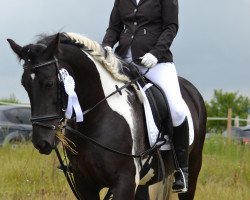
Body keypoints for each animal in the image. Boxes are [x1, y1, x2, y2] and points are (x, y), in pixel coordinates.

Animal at [7, 32, 207, 200]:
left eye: (49, 83)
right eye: (24, 84)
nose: (42, 142)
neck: (98, 117)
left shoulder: (124, 183)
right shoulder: (84, 184)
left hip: (193, 167)